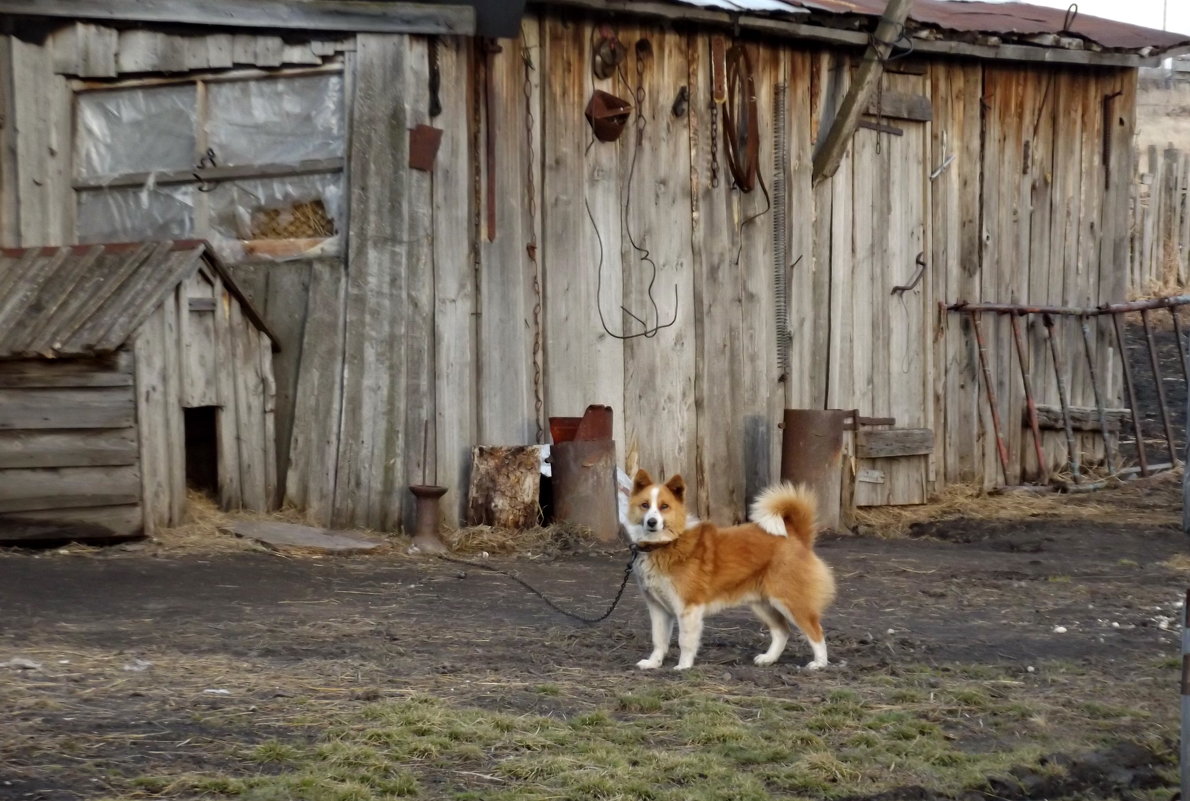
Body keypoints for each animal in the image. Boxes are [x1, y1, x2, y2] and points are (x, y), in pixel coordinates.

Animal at [623, 471, 837, 671]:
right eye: (644, 505)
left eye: (664, 507)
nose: (651, 522)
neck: (666, 544)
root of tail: (796, 536)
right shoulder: (658, 609)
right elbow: (658, 640)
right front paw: (653, 663)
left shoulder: (688, 608)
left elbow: (685, 641)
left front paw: (683, 666)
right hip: (763, 604)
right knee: (782, 631)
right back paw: (769, 659)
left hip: (791, 602)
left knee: (815, 631)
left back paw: (819, 663)